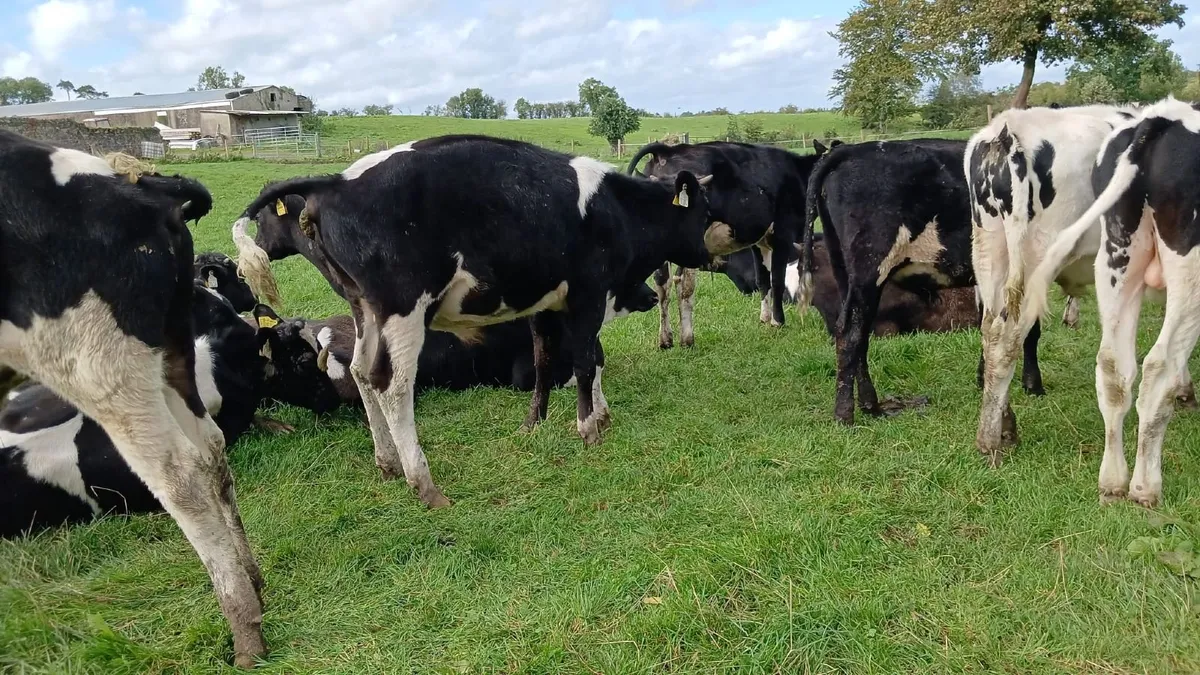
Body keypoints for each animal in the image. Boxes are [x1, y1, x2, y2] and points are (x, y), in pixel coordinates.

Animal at [0, 132, 264, 666]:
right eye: (225, 280)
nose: (247, 303)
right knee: (209, 447)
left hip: (93, 363)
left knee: (179, 476)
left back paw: (245, 628)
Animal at [230, 135, 725, 508]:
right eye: (703, 212)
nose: (711, 256)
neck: (616, 211)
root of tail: (337, 181)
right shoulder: (587, 295)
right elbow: (587, 361)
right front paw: (589, 428)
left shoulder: (546, 304)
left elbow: (548, 362)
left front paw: (539, 423)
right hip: (402, 307)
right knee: (391, 384)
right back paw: (423, 483)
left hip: (363, 307)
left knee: (360, 373)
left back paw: (387, 462)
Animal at [626, 139, 837, 348]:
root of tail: (667, 150)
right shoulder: (783, 235)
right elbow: (777, 279)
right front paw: (778, 322)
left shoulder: (759, 241)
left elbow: (762, 279)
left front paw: (765, 318)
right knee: (684, 285)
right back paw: (687, 338)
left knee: (663, 285)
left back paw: (665, 339)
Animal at [966, 104, 1140, 464]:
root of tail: (1007, 130)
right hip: (1036, 260)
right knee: (1008, 339)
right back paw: (990, 441)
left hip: (990, 254)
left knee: (990, 332)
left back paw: (1004, 425)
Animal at [1021, 97, 1200, 506]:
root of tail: (1162, 118)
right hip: (1190, 267)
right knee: (1158, 366)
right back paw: (1144, 487)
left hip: (1116, 257)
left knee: (1113, 366)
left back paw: (1113, 481)